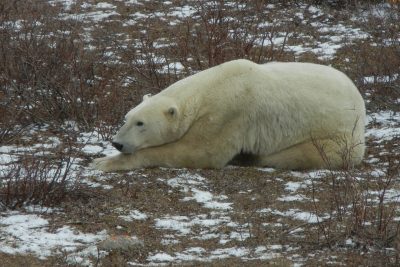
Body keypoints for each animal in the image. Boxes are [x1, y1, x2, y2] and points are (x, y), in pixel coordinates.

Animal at [93, 59, 366, 173]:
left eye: (140, 123)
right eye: (126, 118)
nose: (117, 143)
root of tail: (361, 104)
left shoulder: (227, 113)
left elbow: (200, 152)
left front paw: (103, 162)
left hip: (336, 135)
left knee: (300, 153)